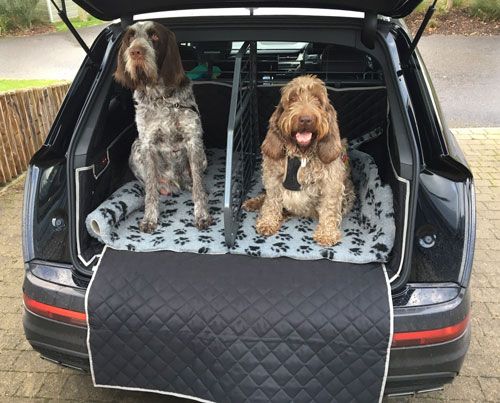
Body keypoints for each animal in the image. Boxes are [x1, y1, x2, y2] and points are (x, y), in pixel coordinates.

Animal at [114, 20, 212, 232]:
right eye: (130, 37)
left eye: (155, 36)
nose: (135, 52)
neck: (160, 98)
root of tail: (175, 183)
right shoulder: (147, 144)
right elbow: (150, 189)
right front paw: (150, 218)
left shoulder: (193, 140)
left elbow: (198, 186)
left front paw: (202, 215)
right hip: (136, 149)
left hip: (202, 155)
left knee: (194, 181)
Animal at [243, 75, 356, 246]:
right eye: (292, 98)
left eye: (317, 99)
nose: (305, 119)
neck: (301, 155)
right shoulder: (273, 178)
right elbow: (271, 201)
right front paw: (268, 221)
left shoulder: (331, 184)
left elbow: (329, 208)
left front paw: (327, 234)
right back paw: (254, 203)